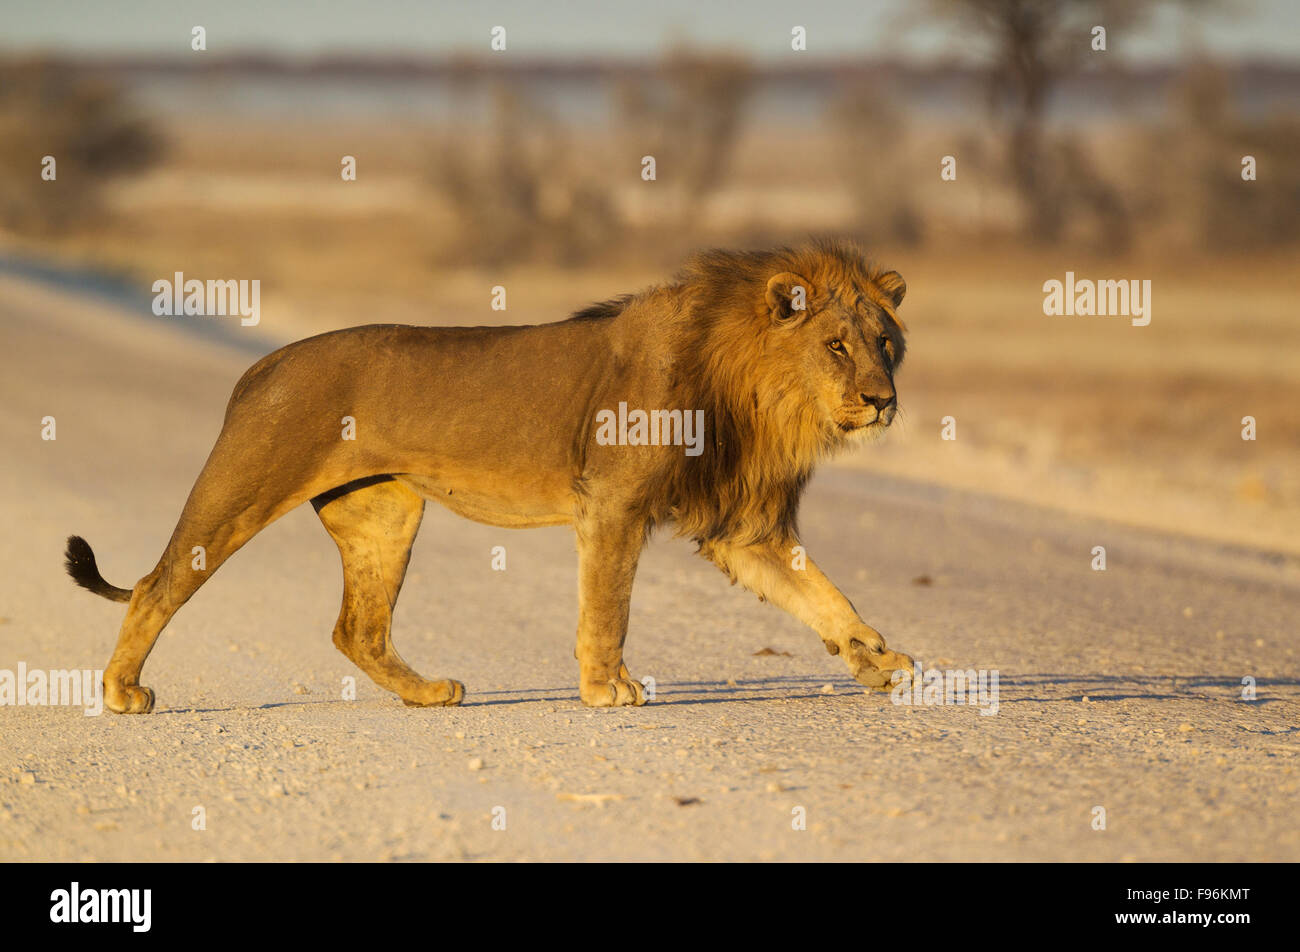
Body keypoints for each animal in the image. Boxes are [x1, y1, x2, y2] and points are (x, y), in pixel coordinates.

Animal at [63, 239, 915, 712]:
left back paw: (430, 694)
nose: (885, 401)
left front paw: (879, 661)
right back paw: (122, 692)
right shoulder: (612, 504)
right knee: (158, 584)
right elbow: (607, 611)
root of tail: (261, 365)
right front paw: (608, 688)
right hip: (245, 484)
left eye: (885, 343)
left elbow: (826, 597)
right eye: (836, 346)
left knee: (357, 628)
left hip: (385, 515)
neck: (760, 396)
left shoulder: (745, 529)